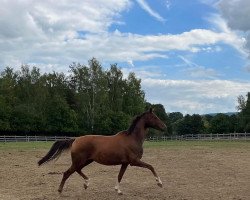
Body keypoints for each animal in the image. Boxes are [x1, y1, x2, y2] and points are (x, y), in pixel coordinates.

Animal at [38, 108, 167, 195]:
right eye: (155, 117)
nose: (164, 127)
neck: (132, 139)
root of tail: (75, 140)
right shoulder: (134, 161)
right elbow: (151, 167)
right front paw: (159, 183)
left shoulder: (125, 163)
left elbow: (120, 176)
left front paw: (118, 190)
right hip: (79, 161)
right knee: (67, 173)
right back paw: (60, 190)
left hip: (86, 161)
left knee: (77, 170)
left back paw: (86, 183)